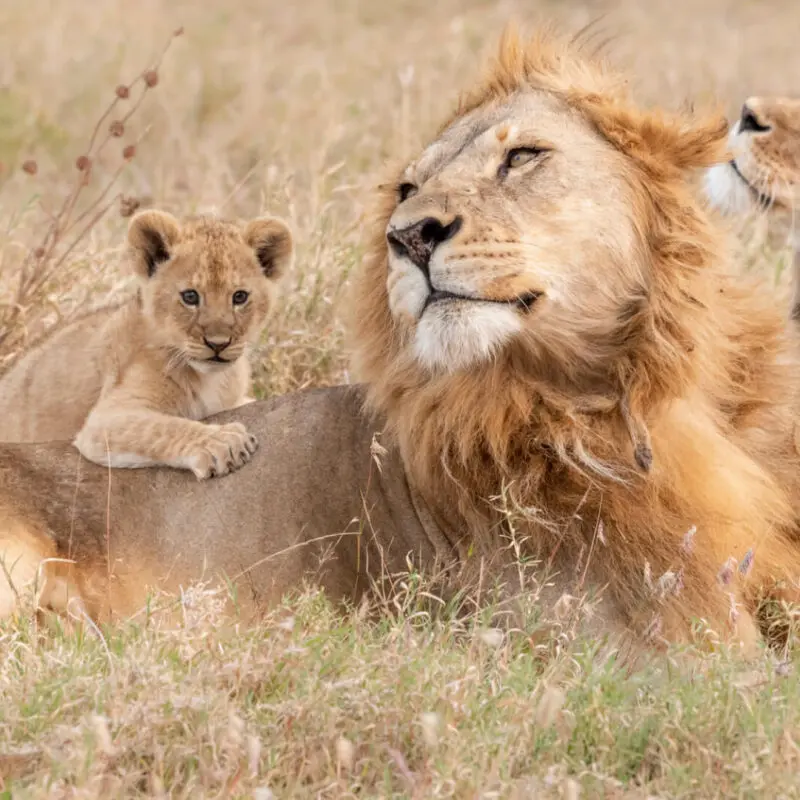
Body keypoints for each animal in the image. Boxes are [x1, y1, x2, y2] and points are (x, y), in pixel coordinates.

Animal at [0, 209, 294, 480]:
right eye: (190, 297)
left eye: (240, 297)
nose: (218, 344)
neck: (211, 379)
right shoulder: (104, 420)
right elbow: (163, 428)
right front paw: (223, 442)